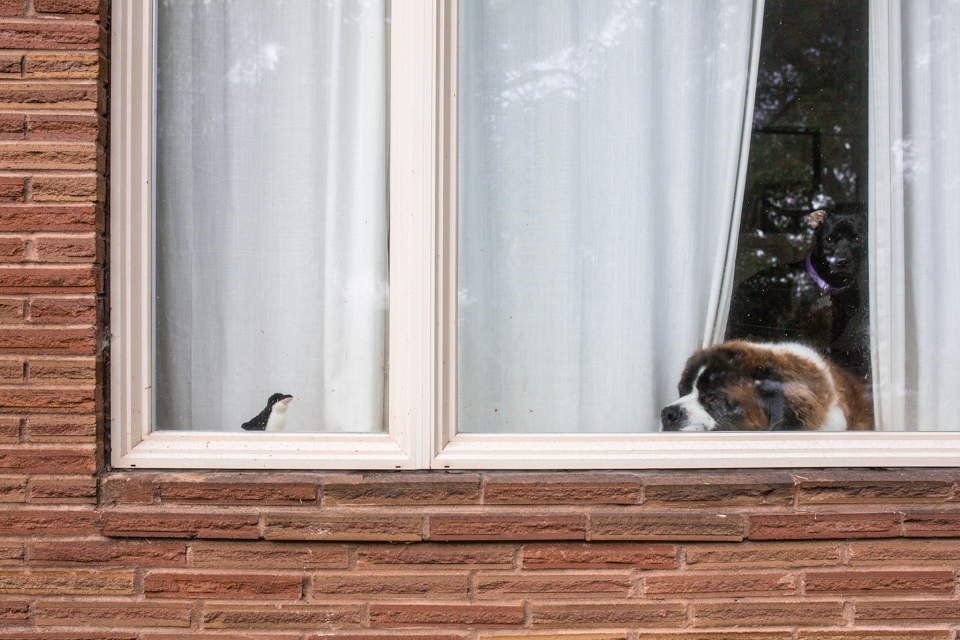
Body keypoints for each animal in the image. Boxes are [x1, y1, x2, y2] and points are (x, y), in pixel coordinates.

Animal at [728, 210, 872, 378]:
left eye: (858, 239)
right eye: (829, 240)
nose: (842, 261)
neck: (831, 285)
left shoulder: (833, 329)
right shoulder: (786, 324)